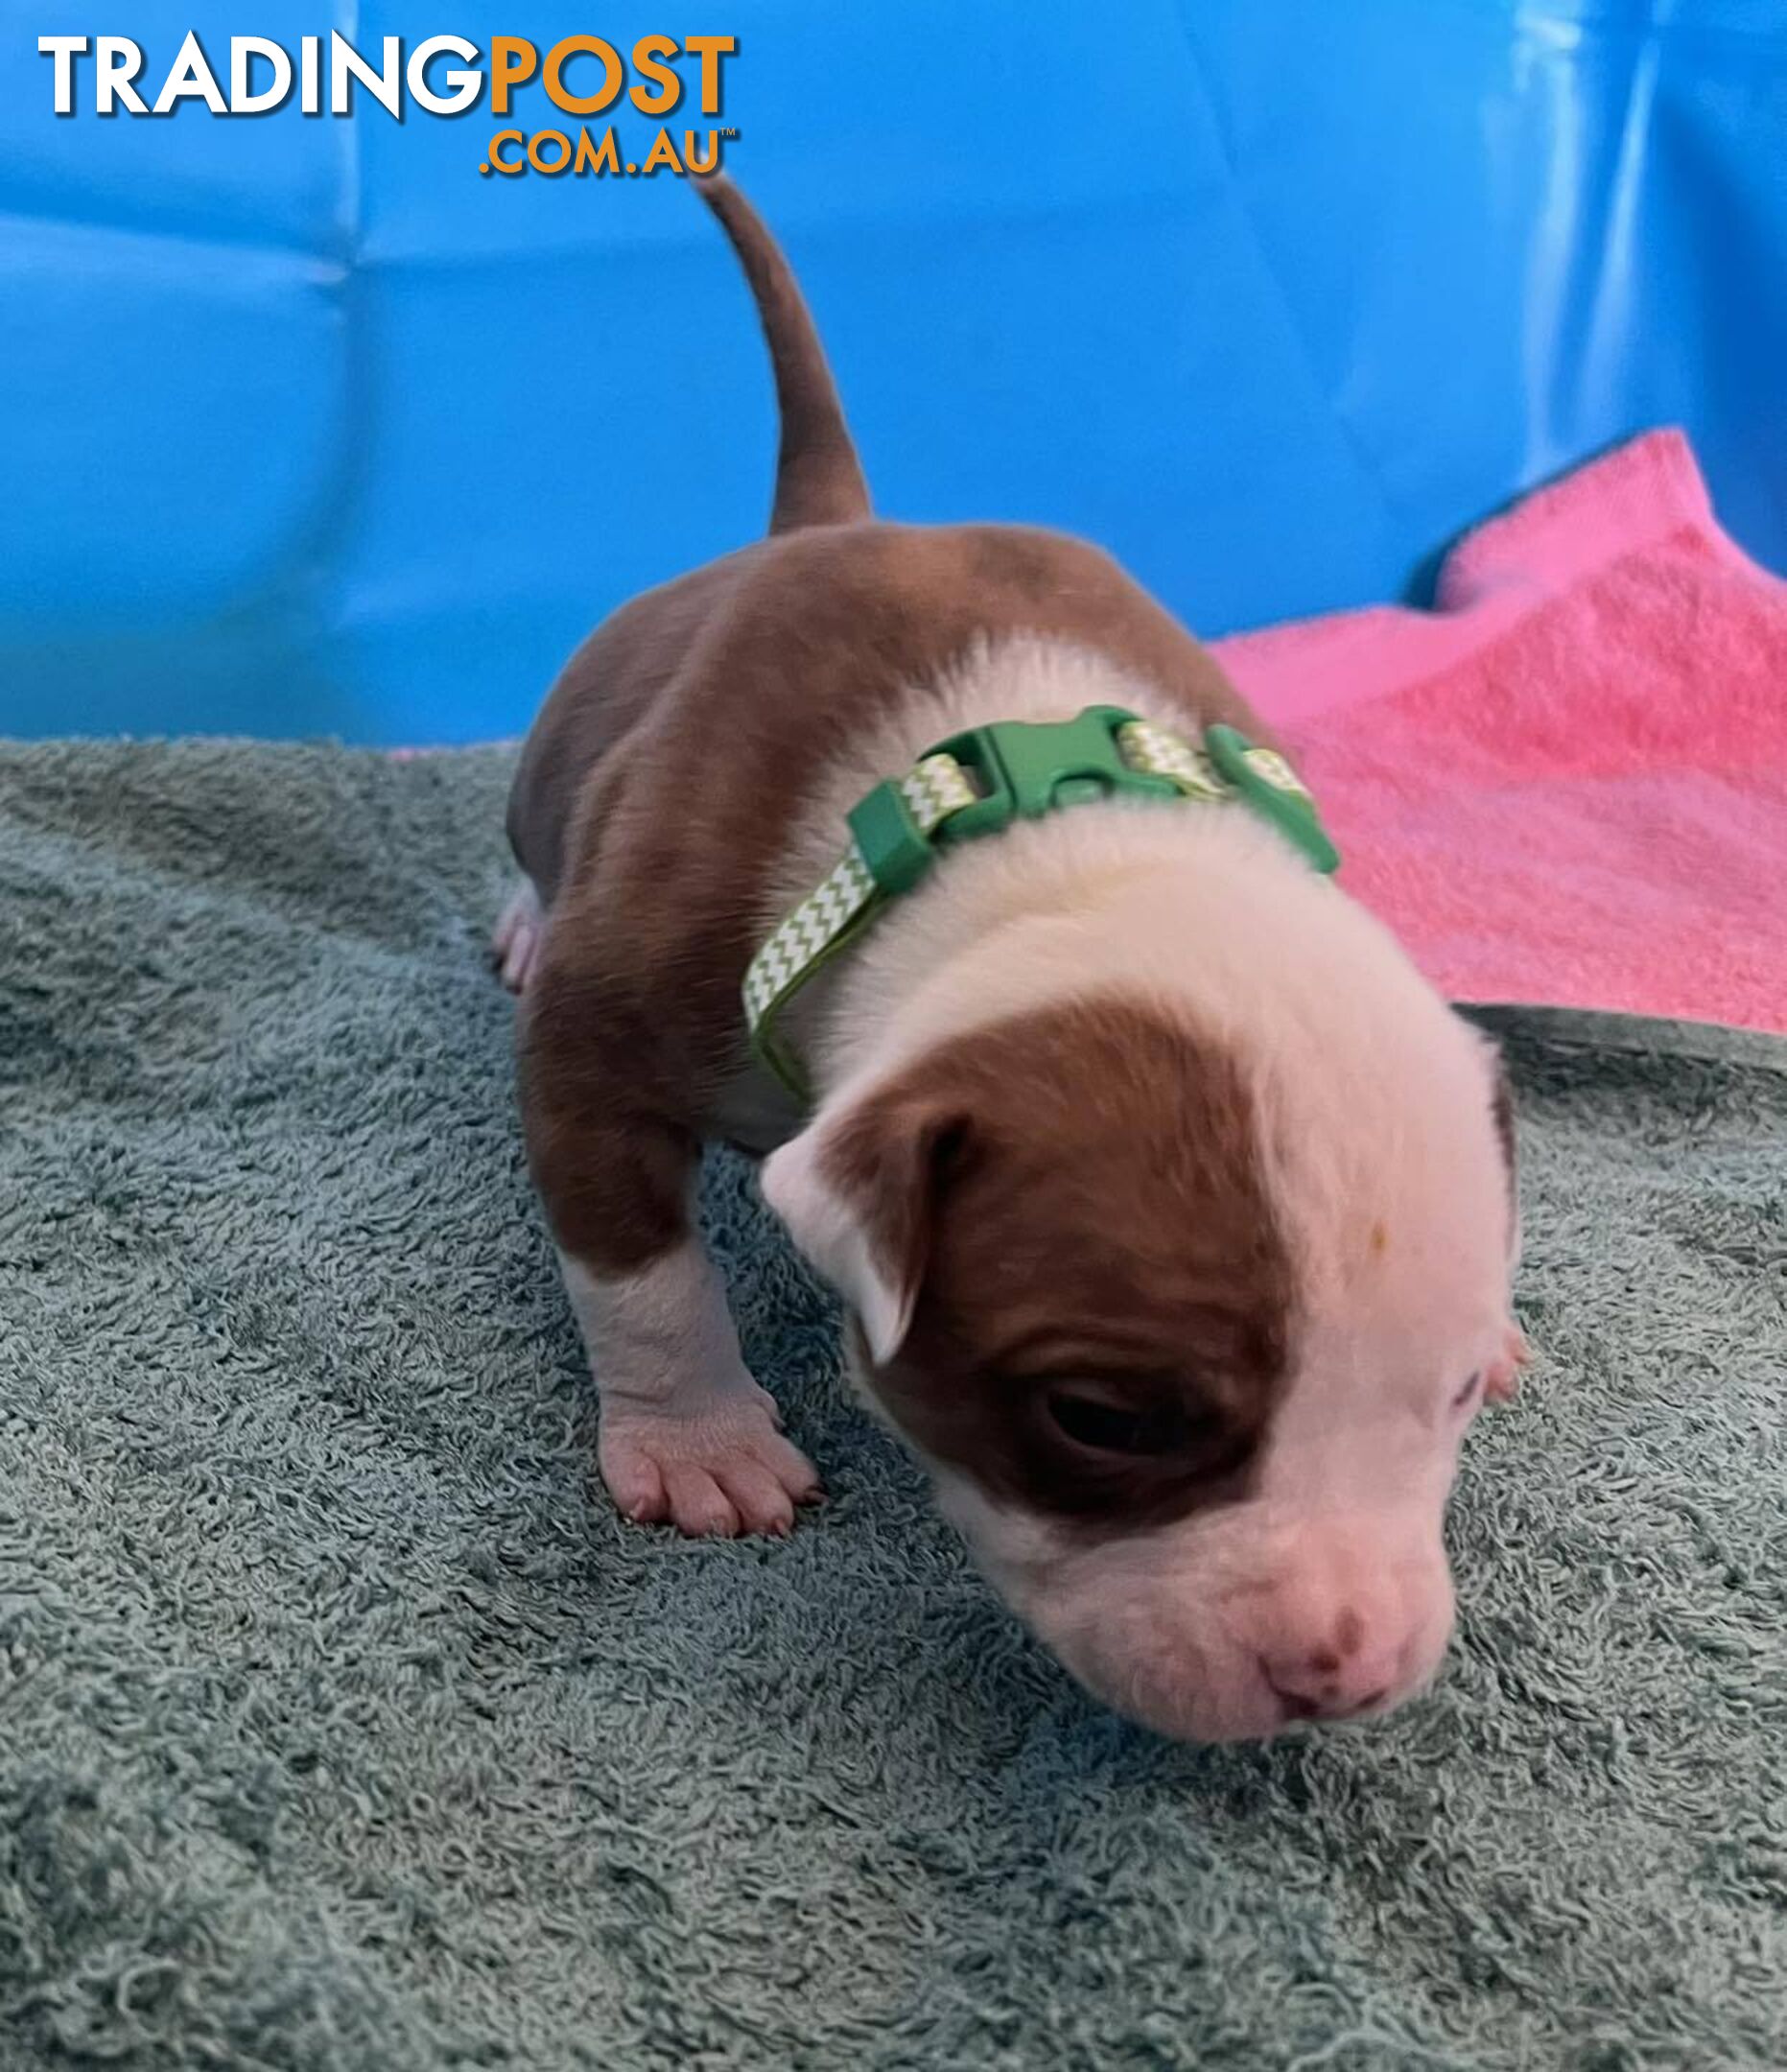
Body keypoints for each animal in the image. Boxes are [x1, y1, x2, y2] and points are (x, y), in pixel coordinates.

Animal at [499, 177, 1525, 1740]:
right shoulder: (604, 1037)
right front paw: (699, 1444)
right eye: (1104, 1419)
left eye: (1455, 1389)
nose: (1345, 1674)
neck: (1046, 842)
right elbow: (639, 1265)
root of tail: (829, 512)